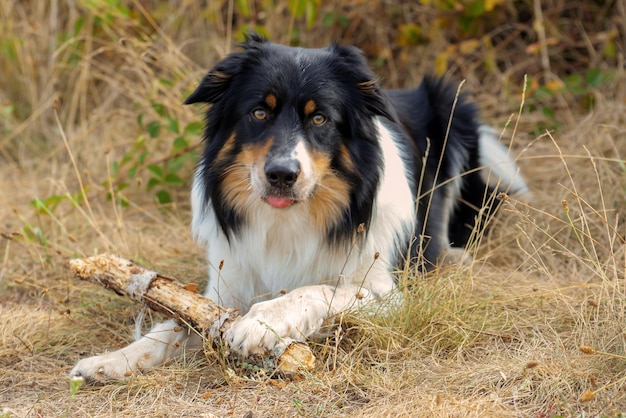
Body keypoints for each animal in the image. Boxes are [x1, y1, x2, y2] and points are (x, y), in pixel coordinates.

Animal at [70, 34, 524, 380]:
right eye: (259, 112)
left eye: (319, 118)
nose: (281, 175)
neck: (289, 219)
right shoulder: (224, 289)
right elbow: (172, 325)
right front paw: (109, 361)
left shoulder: (387, 293)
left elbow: (316, 289)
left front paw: (261, 322)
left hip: (454, 112)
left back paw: (454, 257)